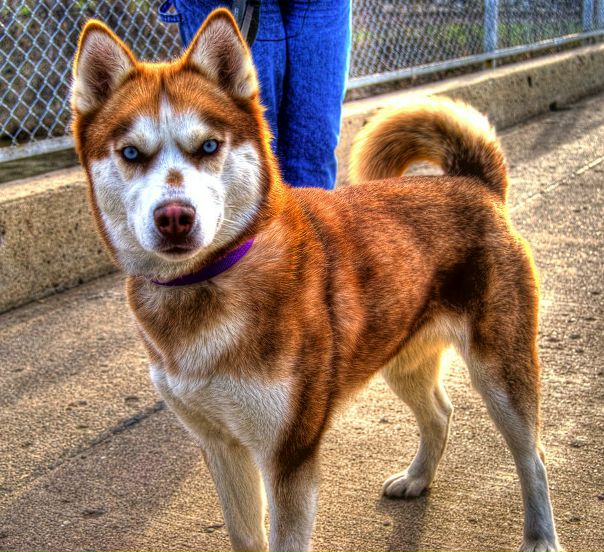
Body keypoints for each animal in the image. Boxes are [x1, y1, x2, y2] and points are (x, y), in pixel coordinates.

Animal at [71, 9, 561, 552]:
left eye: (209, 146)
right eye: (131, 153)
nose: (175, 216)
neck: (211, 281)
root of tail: (473, 184)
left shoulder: (289, 453)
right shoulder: (221, 446)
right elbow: (245, 536)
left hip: (501, 371)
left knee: (533, 457)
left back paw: (540, 535)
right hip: (399, 354)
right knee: (440, 413)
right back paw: (417, 478)